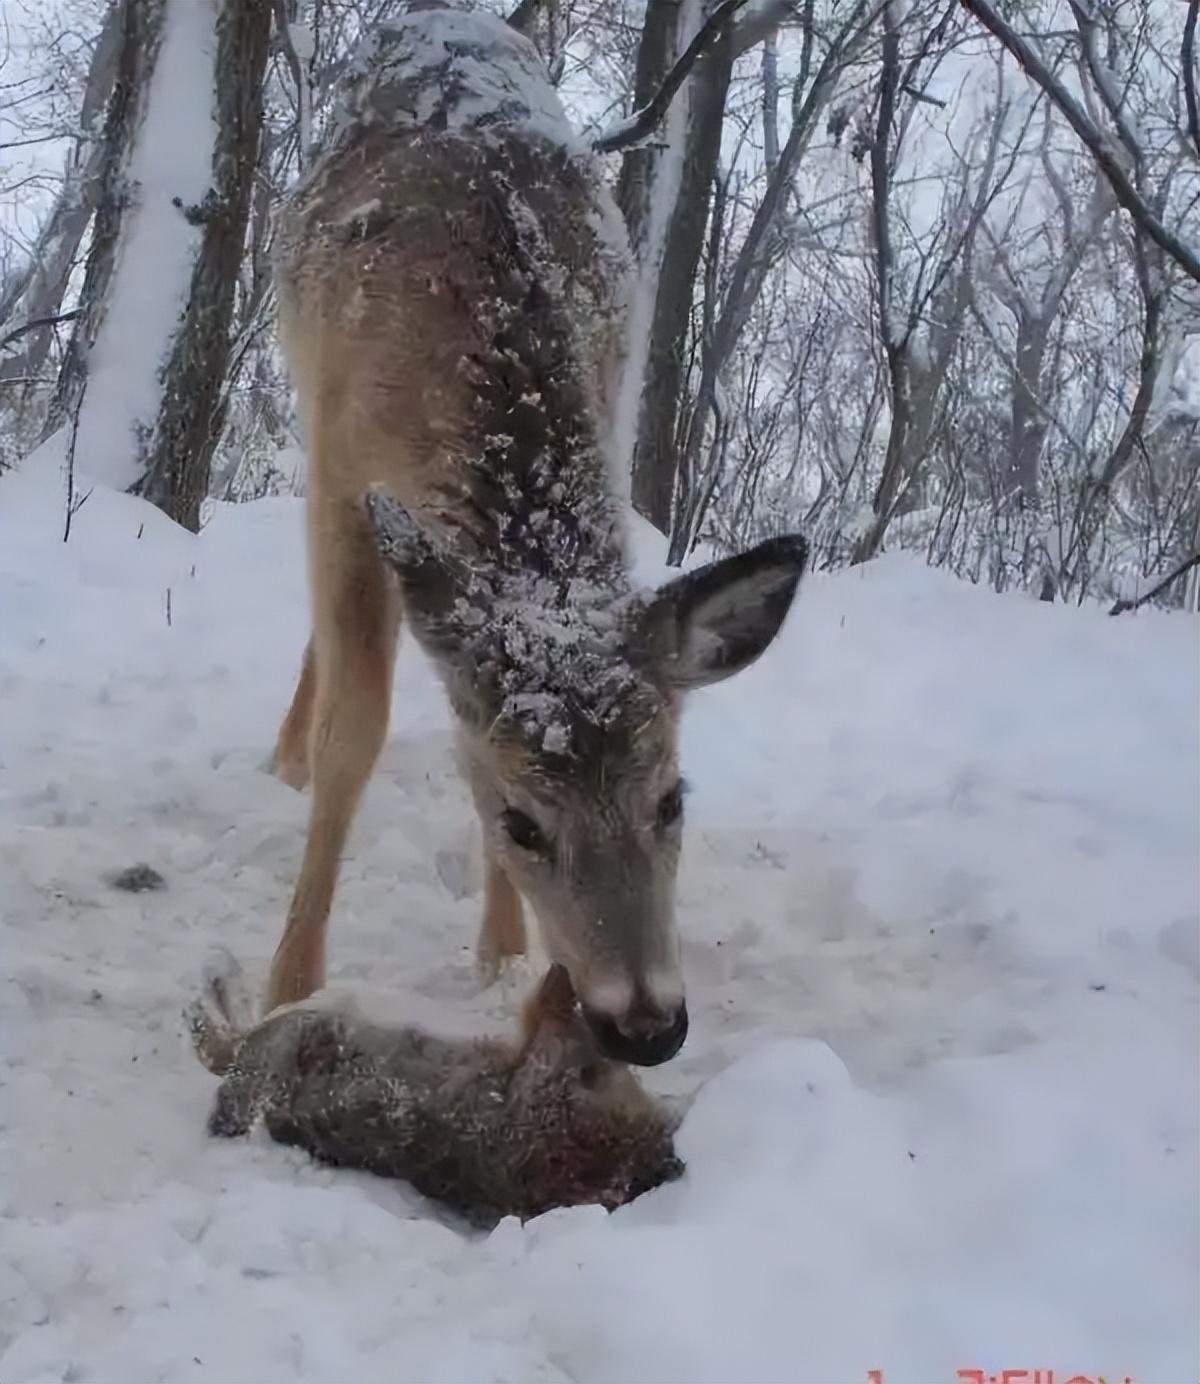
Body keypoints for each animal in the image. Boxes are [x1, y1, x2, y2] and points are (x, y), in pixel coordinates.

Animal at [262, 0, 808, 1068]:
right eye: (523, 824)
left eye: (672, 799)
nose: (647, 1026)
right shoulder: (345, 470)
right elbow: (360, 728)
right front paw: (288, 987)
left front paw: (504, 960)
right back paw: (286, 762)